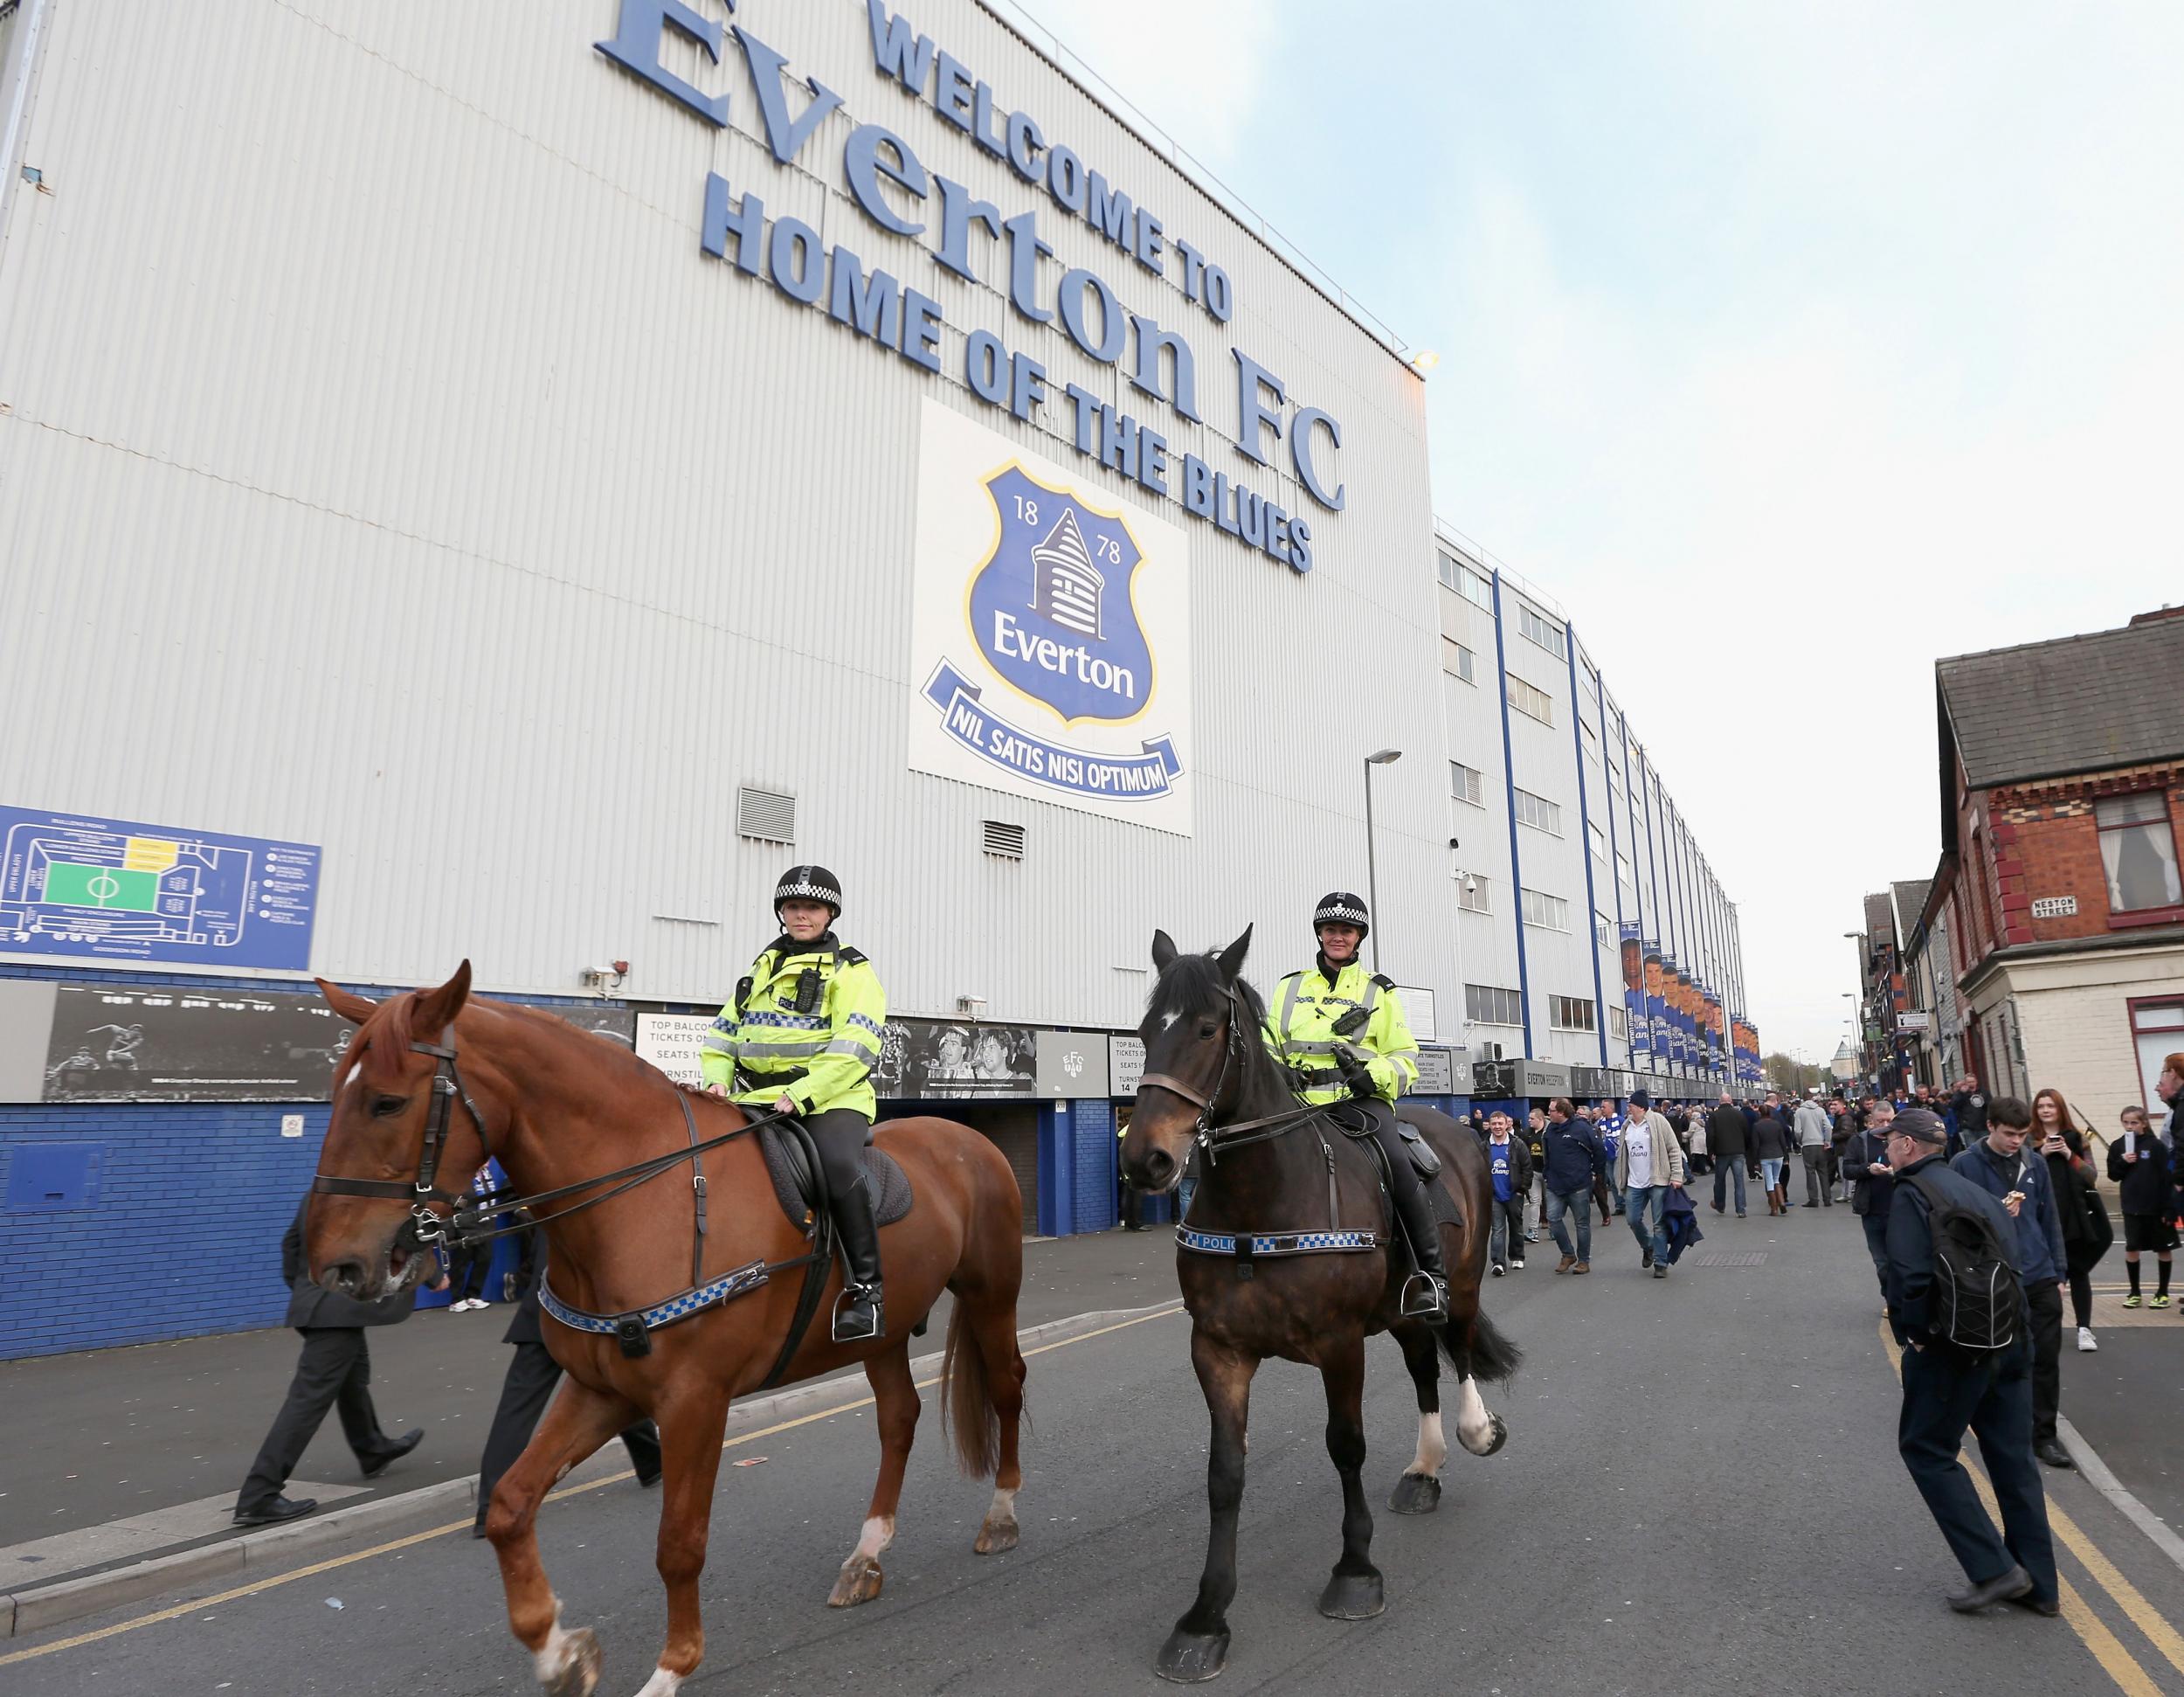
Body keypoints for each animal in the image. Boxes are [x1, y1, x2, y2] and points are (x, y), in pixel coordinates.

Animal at [303, 965, 1035, 1694]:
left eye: (386, 1103)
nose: (334, 1264)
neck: (639, 1198)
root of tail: (972, 1141)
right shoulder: (601, 1390)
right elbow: (511, 1504)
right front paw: (562, 1654)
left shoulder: (694, 1400)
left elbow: (679, 1544)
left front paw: (671, 1668)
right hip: (882, 1336)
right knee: (899, 1419)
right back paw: (866, 1556)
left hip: (991, 1296)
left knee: (1006, 1389)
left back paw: (1001, 1517)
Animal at [1118, 934, 1511, 1677]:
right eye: (1145, 1032)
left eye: (1207, 1030)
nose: (1145, 1161)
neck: (1263, 1199)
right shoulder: (1218, 1351)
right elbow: (1224, 1474)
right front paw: (1205, 1617)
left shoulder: (1338, 1344)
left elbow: (1346, 1447)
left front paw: (1355, 1571)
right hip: (1400, 1312)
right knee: (1423, 1369)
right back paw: (1424, 1470)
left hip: (1463, 1280)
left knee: (1461, 1342)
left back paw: (1477, 1431)